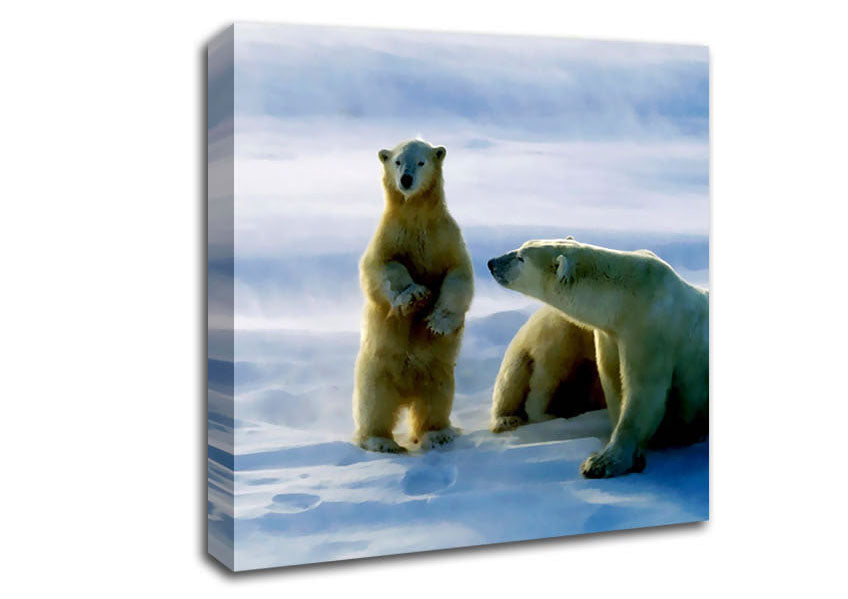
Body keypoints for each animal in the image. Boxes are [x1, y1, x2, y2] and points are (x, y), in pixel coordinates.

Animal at [353, 139, 474, 453]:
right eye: (397, 161)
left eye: (421, 162)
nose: (406, 180)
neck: (416, 216)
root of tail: (406, 392)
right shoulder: (390, 236)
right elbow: (382, 268)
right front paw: (415, 295)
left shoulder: (445, 238)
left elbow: (459, 276)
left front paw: (437, 322)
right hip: (376, 368)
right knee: (374, 403)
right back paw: (381, 441)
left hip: (438, 372)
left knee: (435, 401)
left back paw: (438, 435)